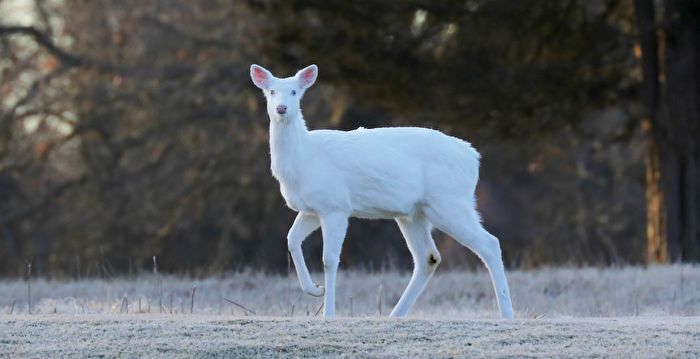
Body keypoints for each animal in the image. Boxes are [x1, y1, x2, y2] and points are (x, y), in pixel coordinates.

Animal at [249, 63, 512, 320]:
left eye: (295, 92)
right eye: (271, 91)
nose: (281, 108)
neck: (303, 160)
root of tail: (473, 158)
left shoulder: (336, 205)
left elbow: (329, 260)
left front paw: (329, 312)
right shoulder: (312, 208)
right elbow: (291, 239)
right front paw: (314, 289)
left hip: (449, 202)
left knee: (490, 243)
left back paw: (507, 314)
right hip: (415, 213)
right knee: (429, 257)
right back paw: (395, 315)